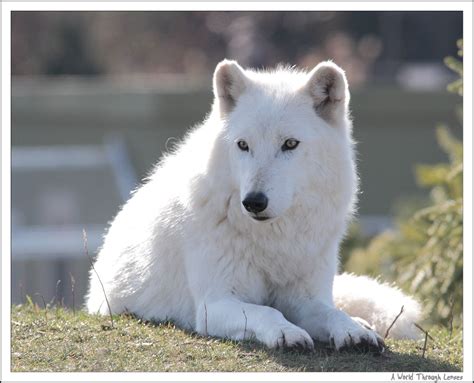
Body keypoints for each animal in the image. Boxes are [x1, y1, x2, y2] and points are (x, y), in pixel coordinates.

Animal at [87, 59, 420, 352]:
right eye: (243, 145)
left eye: (290, 144)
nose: (253, 202)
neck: (272, 239)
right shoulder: (214, 304)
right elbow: (267, 311)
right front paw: (288, 333)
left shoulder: (306, 299)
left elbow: (331, 312)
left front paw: (353, 331)